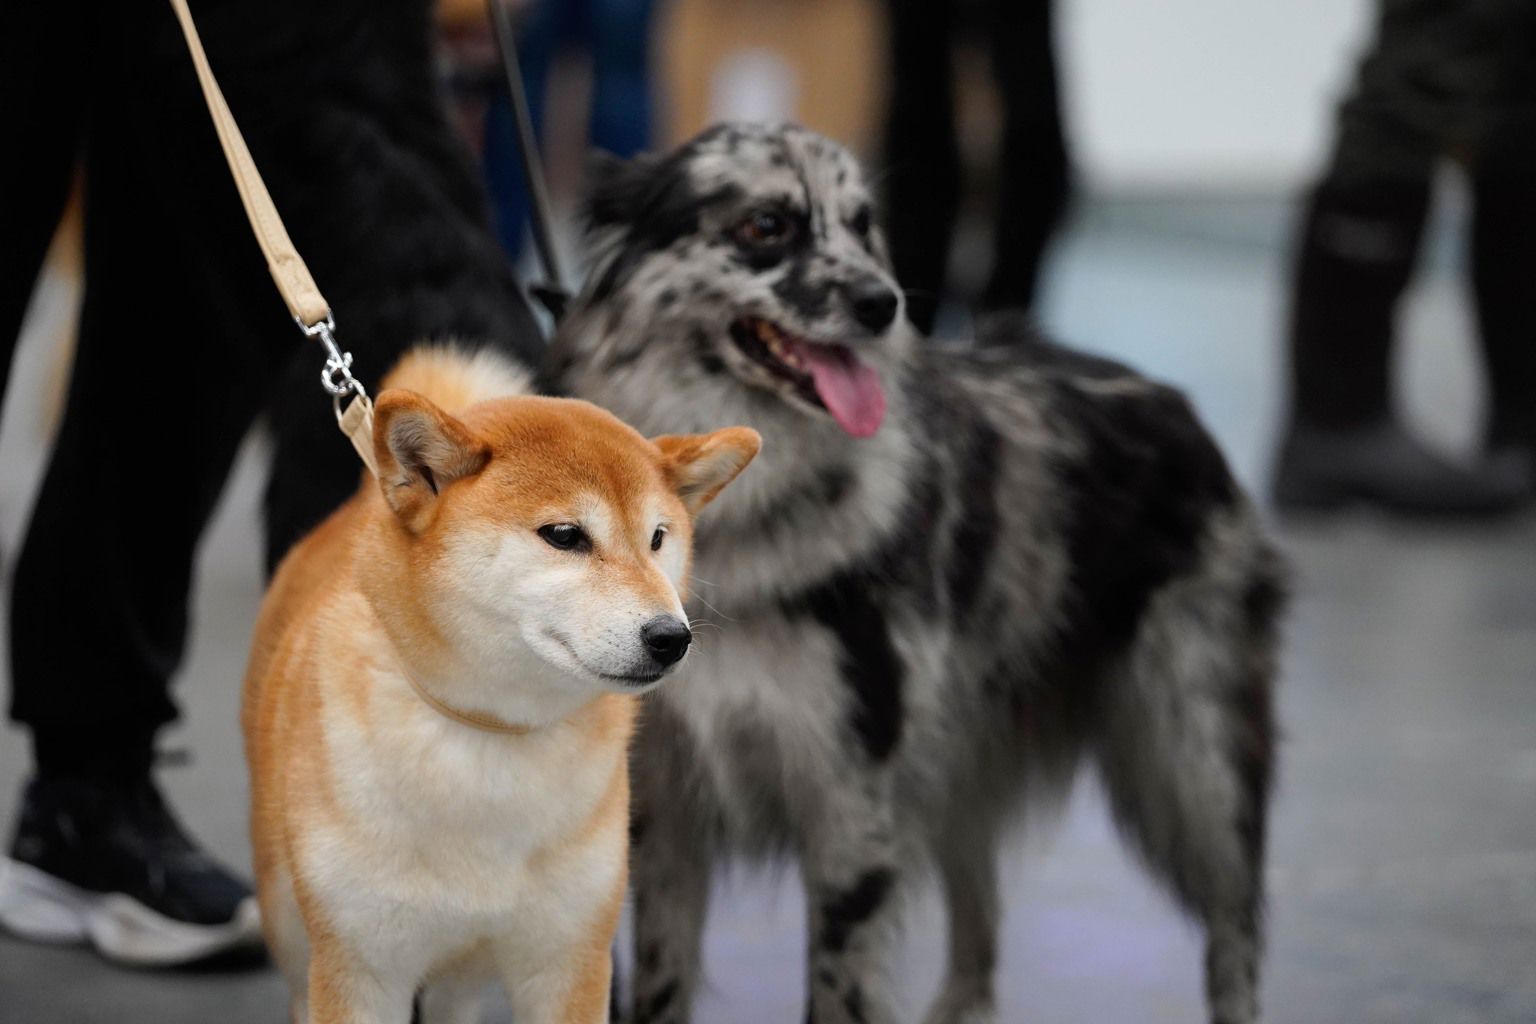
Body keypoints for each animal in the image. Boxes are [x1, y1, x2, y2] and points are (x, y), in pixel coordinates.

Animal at [238, 348, 755, 1019]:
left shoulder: (570, 961)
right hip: (292, 923)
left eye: (658, 538)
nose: (671, 637)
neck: (490, 733)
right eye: (564, 535)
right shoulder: (362, 970)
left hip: (461, 973)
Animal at [546, 122, 1290, 1024]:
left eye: (863, 225)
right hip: (960, 759)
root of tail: (1174, 403)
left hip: (1193, 758)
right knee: (979, 917)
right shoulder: (665, 806)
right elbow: (658, 986)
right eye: (766, 225)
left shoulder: (851, 802)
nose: (883, 304)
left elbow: (838, 987)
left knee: (1234, 924)